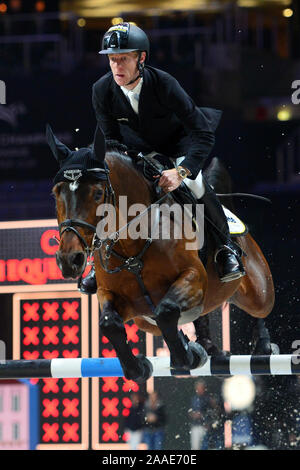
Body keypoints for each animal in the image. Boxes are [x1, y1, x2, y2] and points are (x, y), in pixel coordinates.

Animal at [48, 125, 276, 382]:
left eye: (97, 194)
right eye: (56, 193)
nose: (69, 260)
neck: (131, 247)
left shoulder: (194, 277)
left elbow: (166, 310)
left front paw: (185, 357)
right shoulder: (116, 297)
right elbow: (109, 324)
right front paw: (139, 368)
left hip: (258, 292)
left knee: (260, 307)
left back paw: (263, 344)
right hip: (145, 321)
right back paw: (207, 348)